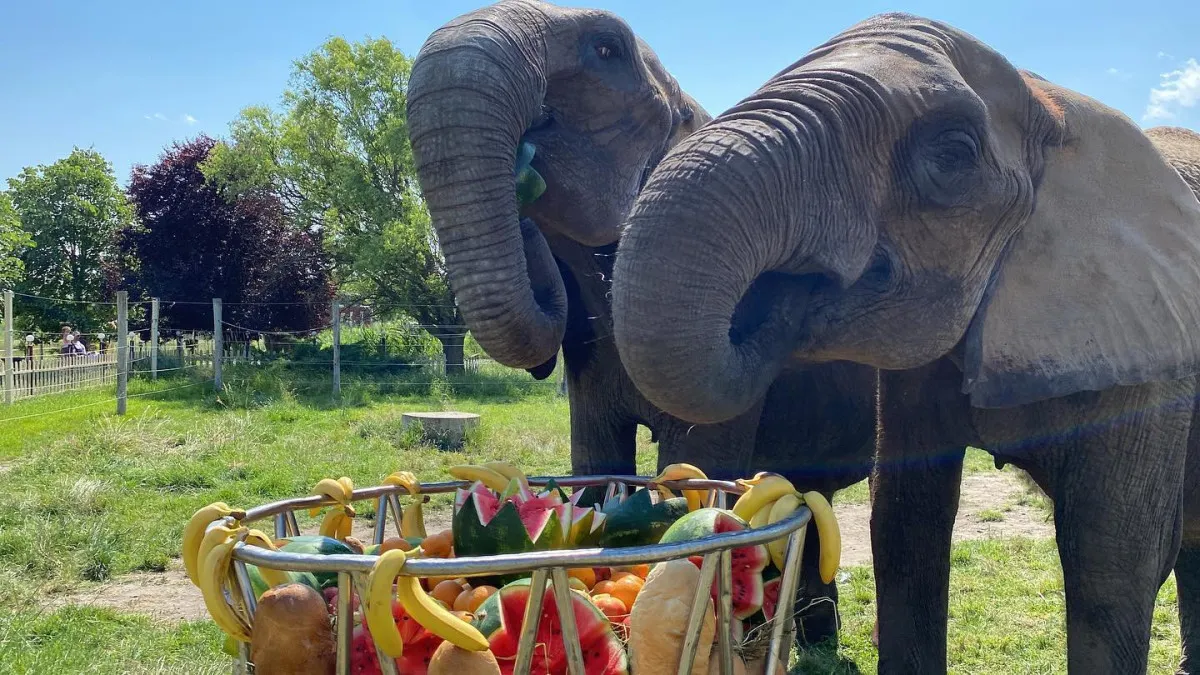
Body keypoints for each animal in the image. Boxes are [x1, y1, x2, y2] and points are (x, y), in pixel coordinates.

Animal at [614, 11, 1200, 672]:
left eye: (953, 153)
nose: (775, 299)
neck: (1051, 98)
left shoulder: (1152, 345)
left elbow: (1112, 551)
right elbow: (904, 521)